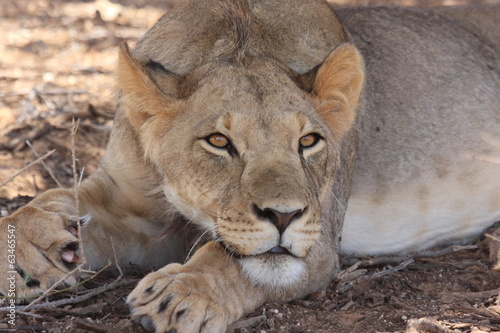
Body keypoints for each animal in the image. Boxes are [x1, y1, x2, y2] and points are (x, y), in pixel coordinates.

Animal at [0, 0, 500, 330]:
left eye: (308, 141)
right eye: (219, 142)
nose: (283, 216)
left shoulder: (323, 238)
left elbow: (228, 258)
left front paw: (182, 291)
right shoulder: (132, 205)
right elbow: (55, 199)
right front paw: (29, 247)